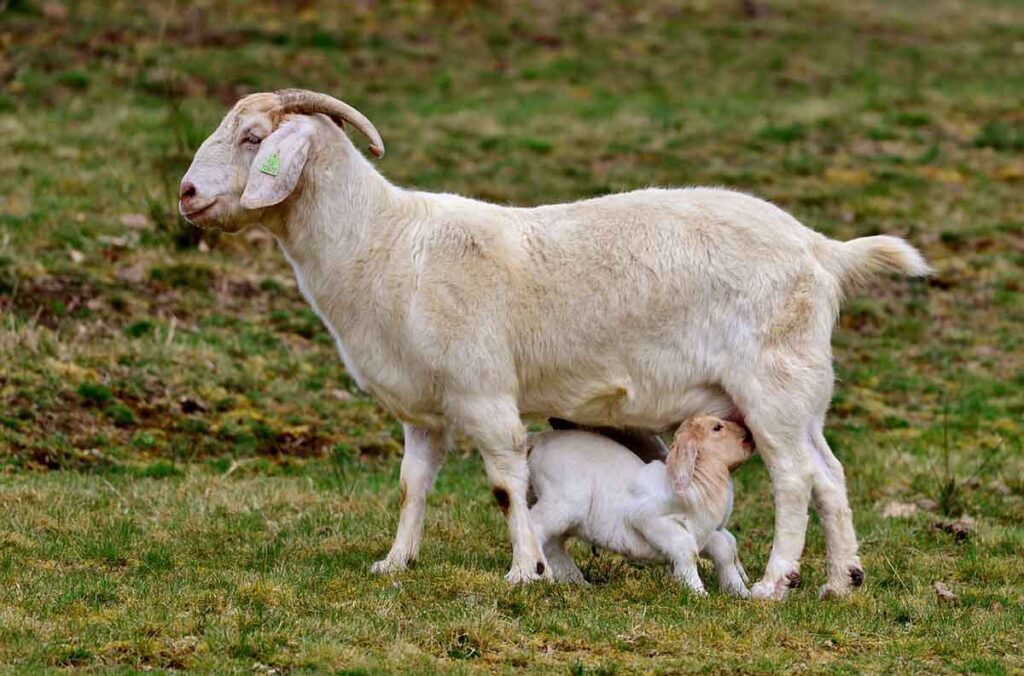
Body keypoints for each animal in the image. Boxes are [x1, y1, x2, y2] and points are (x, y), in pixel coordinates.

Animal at [532, 411, 757, 598]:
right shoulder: (650, 518)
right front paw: (697, 592)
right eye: (717, 427)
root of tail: (535, 443)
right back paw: (537, 576)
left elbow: (725, 549)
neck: (698, 483)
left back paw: (577, 582)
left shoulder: (704, 531)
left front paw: (740, 591)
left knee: (553, 545)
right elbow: (687, 550)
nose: (749, 433)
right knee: (534, 527)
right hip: (562, 504)